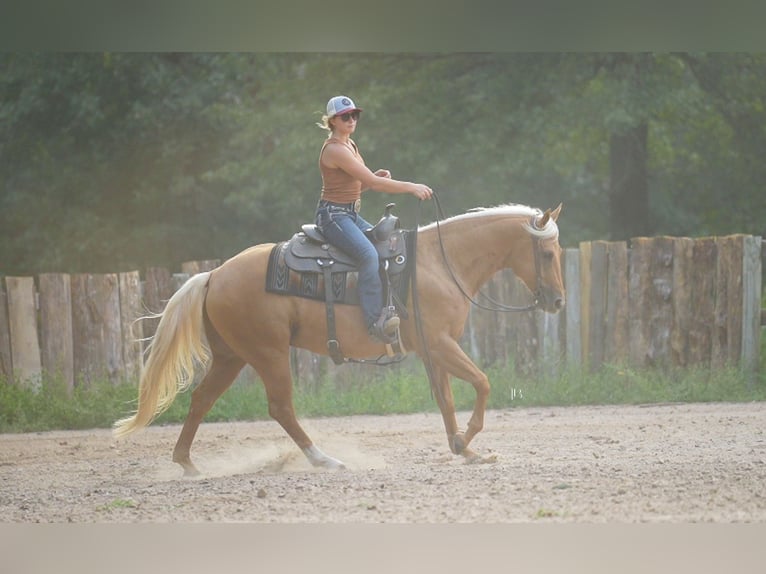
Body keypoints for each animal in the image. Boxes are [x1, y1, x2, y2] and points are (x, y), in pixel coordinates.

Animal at [113, 202, 565, 476]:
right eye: (547, 254)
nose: (558, 300)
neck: (439, 263)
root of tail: (214, 275)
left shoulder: (432, 350)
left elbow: (447, 400)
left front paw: (464, 448)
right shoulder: (439, 344)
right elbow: (482, 383)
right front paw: (468, 439)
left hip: (231, 357)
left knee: (202, 399)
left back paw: (186, 463)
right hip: (268, 353)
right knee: (280, 407)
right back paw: (324, 459)